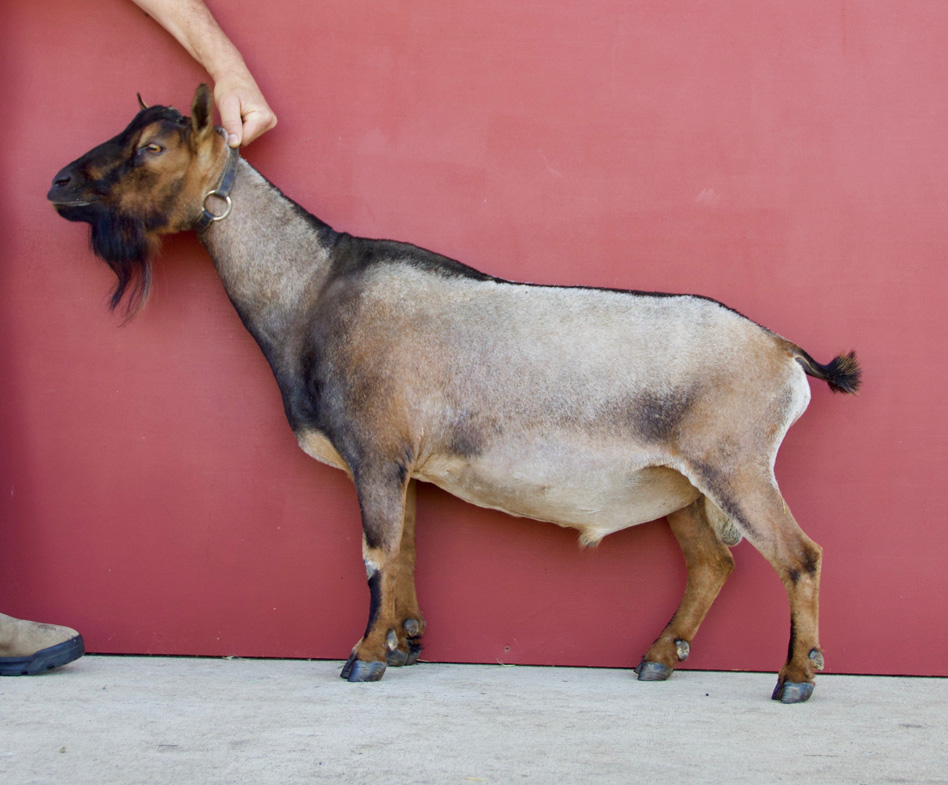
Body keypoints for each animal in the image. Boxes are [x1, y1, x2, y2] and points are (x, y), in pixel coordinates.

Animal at [48, 84, 860, 700]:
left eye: (153, 148)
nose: (59, 184)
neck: (312, 289)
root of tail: (783, 350)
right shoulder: (402, 464)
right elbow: (405, 549)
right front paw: (405, 643)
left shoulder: (376, 450)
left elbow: (376, 552)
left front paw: (363, 657)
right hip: (685, 485)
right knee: (713, 563)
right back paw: (660, 657)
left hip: (735, 465)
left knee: (801, 556)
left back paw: (795, 676)